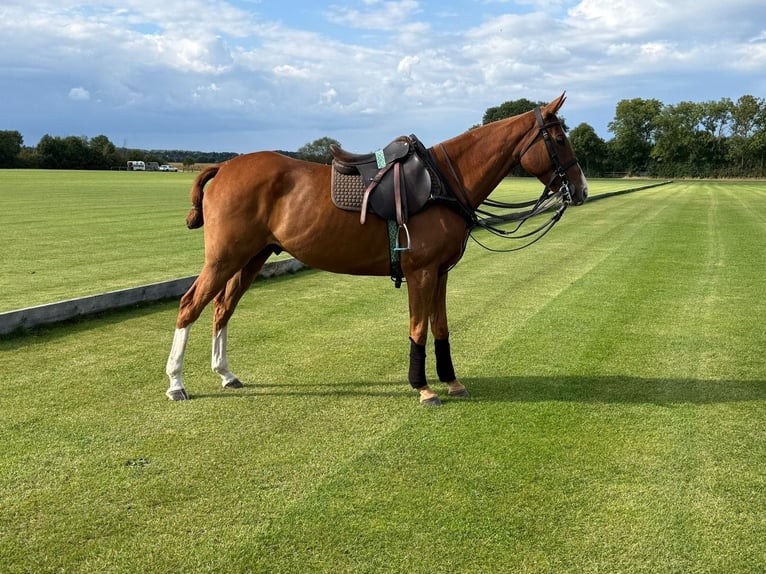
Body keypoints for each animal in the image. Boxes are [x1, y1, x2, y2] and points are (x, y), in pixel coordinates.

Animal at [165, 92, 588, 406]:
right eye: (559, 139)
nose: (581, 190)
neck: (442, 184)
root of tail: (223, 168)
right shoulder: (421, 271)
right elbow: (418, 327)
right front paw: (423, 387)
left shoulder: (441, 272)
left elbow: (440, 326)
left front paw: (452, 381)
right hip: (224, 257)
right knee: (190, 305)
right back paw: (176, 383)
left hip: (251, 257)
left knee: (222, 308)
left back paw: (225, 374)